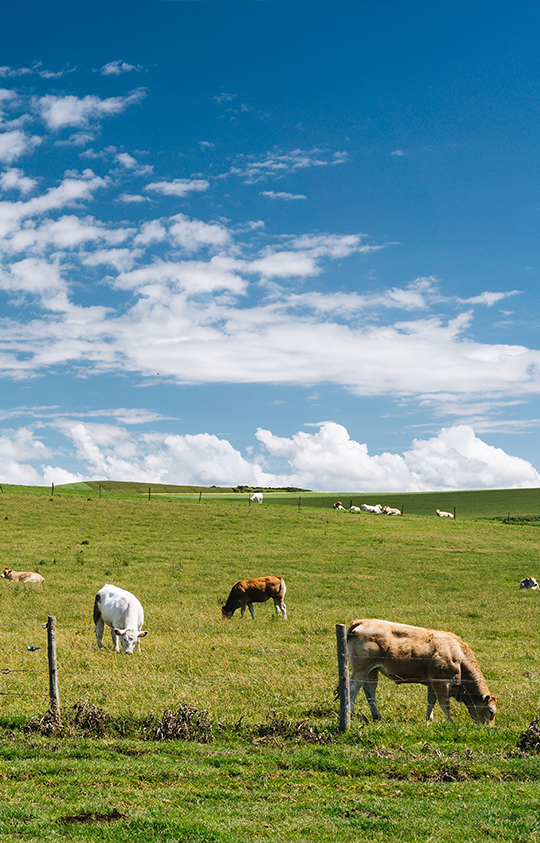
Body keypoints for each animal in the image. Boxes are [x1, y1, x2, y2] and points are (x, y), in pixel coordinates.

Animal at [348, 616, 496, 728]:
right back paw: (350, 713)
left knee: (370, 691)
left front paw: (429, 719)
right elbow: (444, 704)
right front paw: (450, 722)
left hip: (372, 670)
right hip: (361, 668)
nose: (490, 729)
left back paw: (376, 716)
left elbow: (431, 701)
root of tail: (362, 621)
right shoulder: (441, 683)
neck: (457, 655)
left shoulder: (432, 683)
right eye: (491, 711)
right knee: (353, 688)